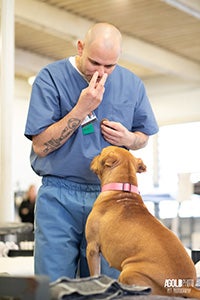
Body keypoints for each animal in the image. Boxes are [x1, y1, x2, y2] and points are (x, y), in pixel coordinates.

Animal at [85, 145, 200, 298]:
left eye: (101, 152)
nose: (93, 156)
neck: (123, 188)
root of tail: (187, 285)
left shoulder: (92, 247)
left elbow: (94, 274)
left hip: (128, 271)